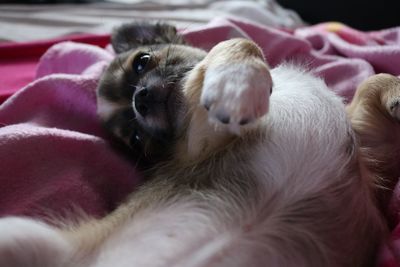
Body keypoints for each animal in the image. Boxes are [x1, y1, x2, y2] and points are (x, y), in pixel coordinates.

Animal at [0, 23, 388, 267]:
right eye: (138, 138)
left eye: (142, 61)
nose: (140, 99)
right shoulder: (202, 141)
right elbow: (236, 44)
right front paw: (237, 86)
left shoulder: (370, 151)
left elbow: (373, 82)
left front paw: (393, 92)